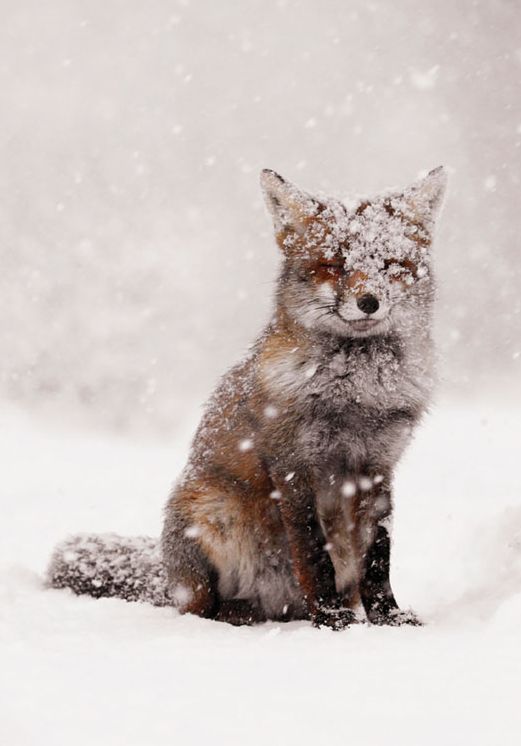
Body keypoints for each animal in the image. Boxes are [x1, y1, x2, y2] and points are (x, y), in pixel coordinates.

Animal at [48, 166, 446, 629]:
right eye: (333, 265)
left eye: (390, 265)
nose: (369, 301)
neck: (355, 396)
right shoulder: (294, 466)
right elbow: (313, 553)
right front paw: (332, 620)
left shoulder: (379, 467)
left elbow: (378, 556)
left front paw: (388, 618)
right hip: (210, 515)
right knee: (202, 608)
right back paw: (240, 615)